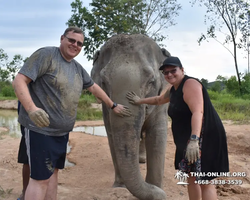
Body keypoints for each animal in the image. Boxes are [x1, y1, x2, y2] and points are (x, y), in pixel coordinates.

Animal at [91, 33, 171, 199]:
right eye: (103, 82)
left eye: (151, 81)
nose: (161, 193)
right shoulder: (105, 107)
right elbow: (111, 135)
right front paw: (120, 187)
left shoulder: (162, 100)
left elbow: (157, 134)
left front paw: (156, 187)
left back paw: (142, 161)